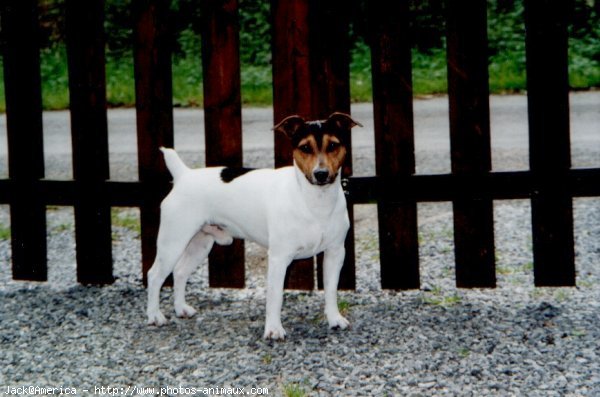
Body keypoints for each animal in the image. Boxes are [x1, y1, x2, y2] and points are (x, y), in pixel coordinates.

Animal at [146, 110, 360, 338]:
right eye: (305, 147)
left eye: (333, 145)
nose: (321, 174)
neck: (315, 201)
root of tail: (184, 175)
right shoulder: (279, 258)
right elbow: (275, 296)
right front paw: (274, 330)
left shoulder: (335, 253)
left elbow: (331, 290)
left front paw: (334, 319)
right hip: (173, 243)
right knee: (154, 275)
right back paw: (154, 316)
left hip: (200, 244)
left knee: (179, 272)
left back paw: (181, 309)